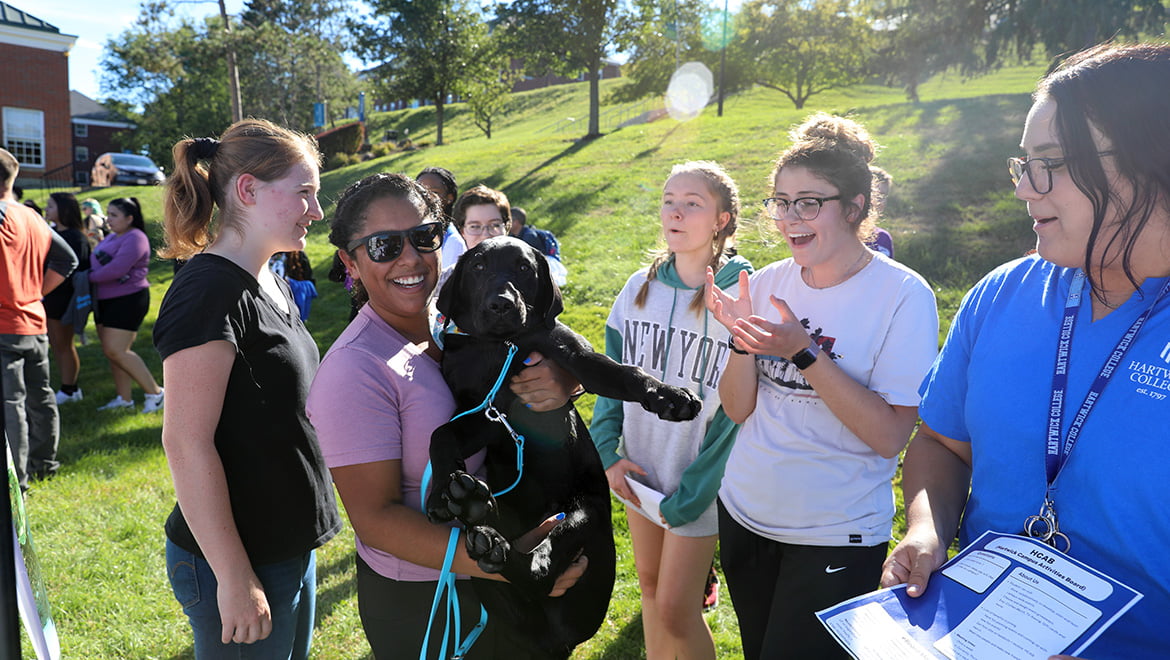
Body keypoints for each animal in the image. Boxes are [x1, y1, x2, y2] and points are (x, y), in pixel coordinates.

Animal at [430, 234, 697, 655]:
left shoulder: (571, 354)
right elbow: (441, 433)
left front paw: (668, 396)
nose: (501, 304)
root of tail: (557, 636)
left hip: (583, 514)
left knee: (538, 571)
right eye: (477, 267)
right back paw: (472, 508)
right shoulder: (481, 411)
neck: (503, 345)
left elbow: (626, 373)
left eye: (524, 268)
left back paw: (487, 536)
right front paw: (442, 489)